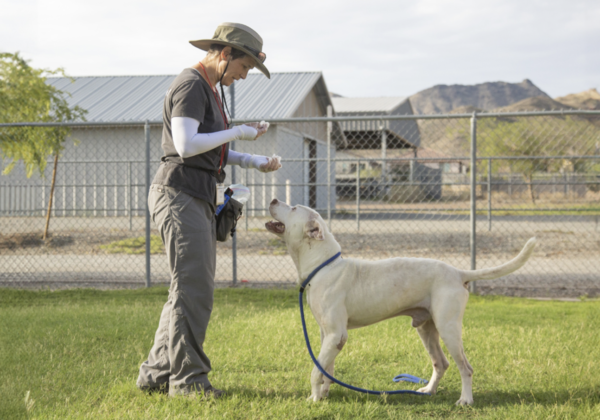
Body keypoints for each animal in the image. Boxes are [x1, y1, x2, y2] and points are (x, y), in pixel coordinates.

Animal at [264, 199, 536, 406]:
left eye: (294, 207)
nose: (274, 200)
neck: (323, 265)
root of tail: (459, 273)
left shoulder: (337, 335)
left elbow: (314, 370)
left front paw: (313, 399)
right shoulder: (327, 335)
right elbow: (325, 369)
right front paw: (323, 394)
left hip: (449, 329)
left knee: (465, 368)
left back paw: (465, 400)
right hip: (427, 330)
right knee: (441, 363)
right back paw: (428, 391)